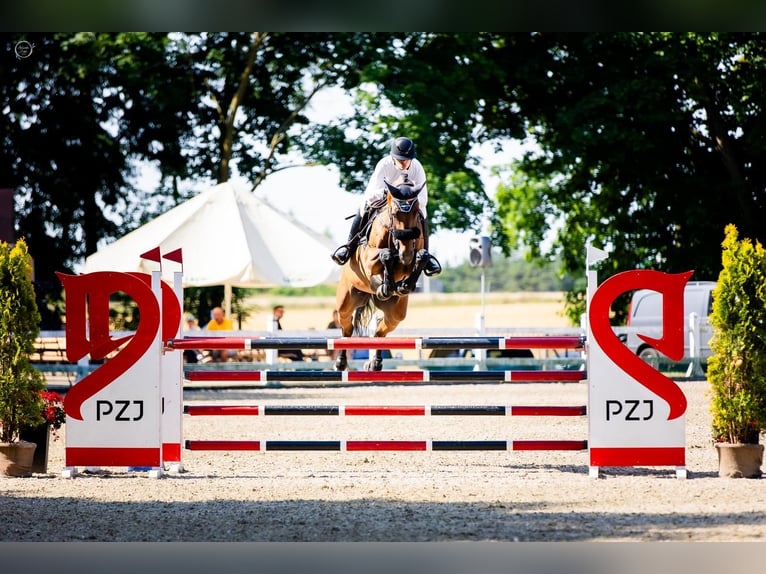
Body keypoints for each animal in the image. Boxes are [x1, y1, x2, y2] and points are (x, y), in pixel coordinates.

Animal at [336, 180, 432, 374]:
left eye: (416, 213)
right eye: (394, 213)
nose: (406, 254)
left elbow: (422, 256)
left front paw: (403, 285)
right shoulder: (367, 258)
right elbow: (385, 254)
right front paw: (386, 284)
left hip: (395, 314)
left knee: (380, 331)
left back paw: (375, 362)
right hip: (346, 300)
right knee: (347, 327)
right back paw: (341, 362)